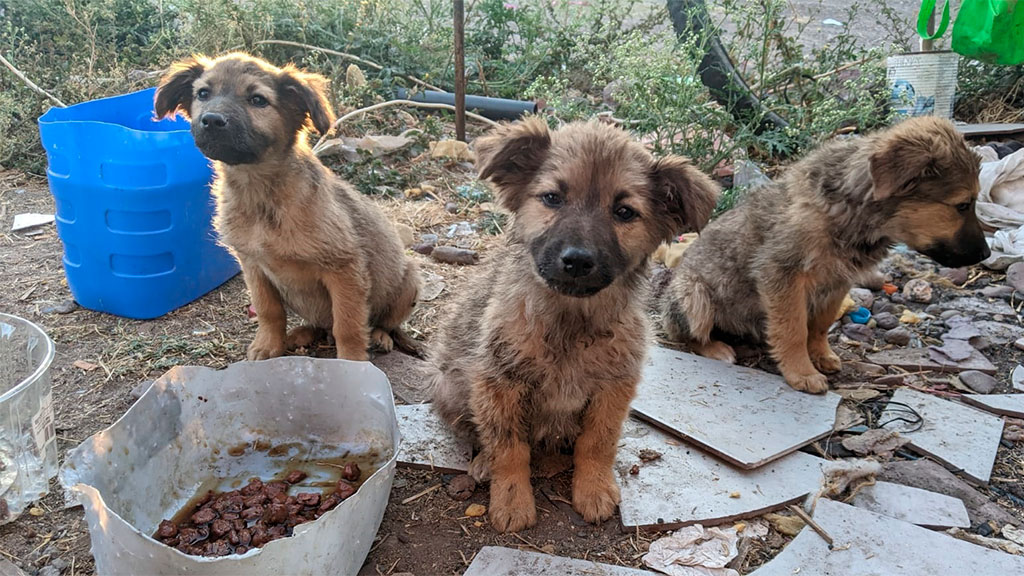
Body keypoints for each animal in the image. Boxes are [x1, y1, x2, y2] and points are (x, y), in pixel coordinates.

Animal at [155, 52, 419, 358]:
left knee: (382, 323)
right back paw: (301, 334)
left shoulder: (344, 268)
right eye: (203, 94)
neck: (261, 194)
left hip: (409, 281)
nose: (211, 120)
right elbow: (269, 312)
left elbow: (347, 324)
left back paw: (379, 336)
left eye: (258, 100)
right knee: (322, 326)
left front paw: (353, 360)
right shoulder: (253, 266)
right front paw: (269, 345)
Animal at [430, 116, 720, 528]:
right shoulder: (498, 382)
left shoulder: (614, 387)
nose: (578, 260)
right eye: (552, 198)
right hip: (452, 385)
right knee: (477, 430)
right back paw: (484, 460)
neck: (571, 321)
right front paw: (512, 500)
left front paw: (593, 488)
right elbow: (509, 446)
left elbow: (597, 443)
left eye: (624, 212)